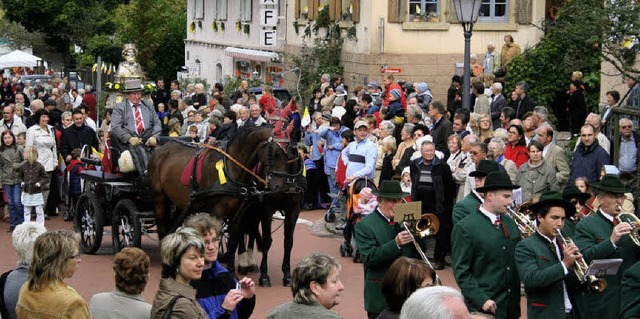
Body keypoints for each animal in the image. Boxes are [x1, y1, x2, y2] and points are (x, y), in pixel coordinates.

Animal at [146, 126, 288, 274]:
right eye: (277, 153)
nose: (280, 187)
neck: (229, 168)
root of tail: (159, 150)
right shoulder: (217, 213)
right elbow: (213, 240)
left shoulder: (238, 214)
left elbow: (233, 243)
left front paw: (231, 271)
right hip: (160, 199)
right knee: (162, 229)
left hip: (181, 204)